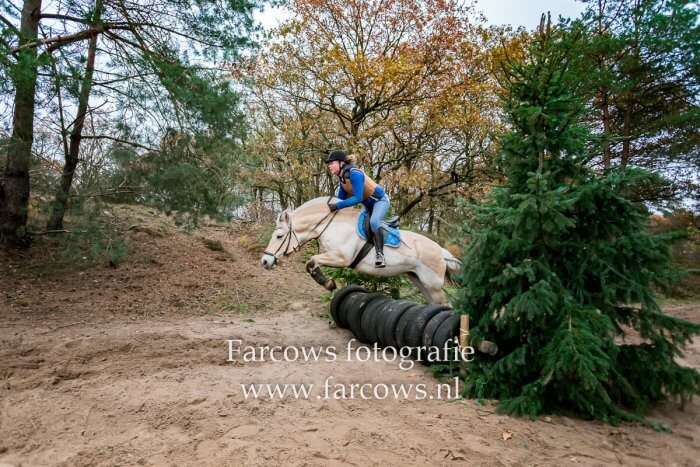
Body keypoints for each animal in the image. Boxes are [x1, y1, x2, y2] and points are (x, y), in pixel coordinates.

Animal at [260, 197, 462, 304]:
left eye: (279, 236)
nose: (264, 261)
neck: (331, 225)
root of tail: (441, 251)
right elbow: (311, 263)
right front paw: (328, 282)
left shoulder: (341, 257)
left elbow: (311, 261)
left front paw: (328, 283)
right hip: (419, 281)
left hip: (433, 284)